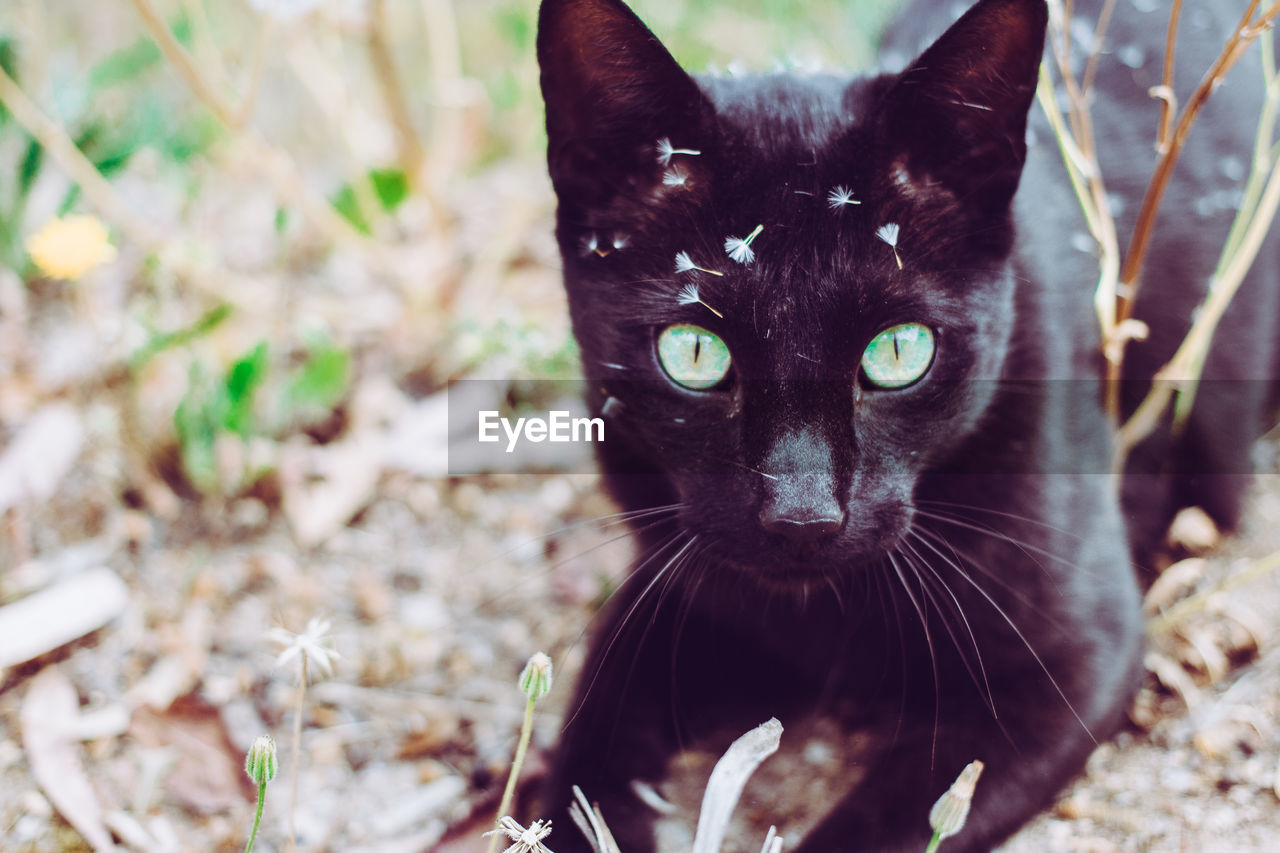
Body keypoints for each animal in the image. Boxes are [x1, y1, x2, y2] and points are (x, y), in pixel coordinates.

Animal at [532, 0, 1280, 845]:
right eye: (693, 351)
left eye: (899, 350)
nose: (801, 514)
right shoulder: (672, 595)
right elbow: (584, 755)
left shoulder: (1072, 657)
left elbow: (896, 824)